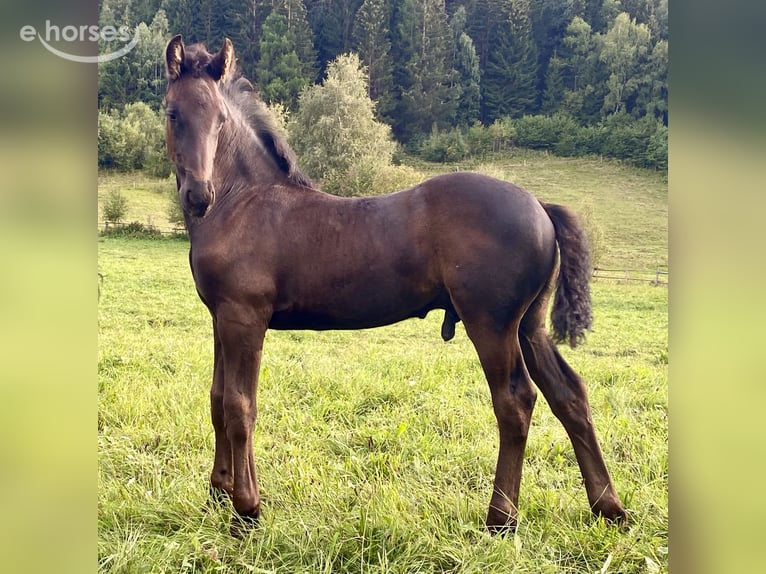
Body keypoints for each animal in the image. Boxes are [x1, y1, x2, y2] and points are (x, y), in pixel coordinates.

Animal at [163, 35, 627, 535]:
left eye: (221, 120)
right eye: (173, 113)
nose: (199, 195)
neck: (242, 201)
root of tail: (540, 205)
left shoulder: (245, 318)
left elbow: (240, 406)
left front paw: (247, 509)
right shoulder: (221, 319)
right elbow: (217, 400)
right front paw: (218, 492)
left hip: (491, 324)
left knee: (515, 401)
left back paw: (501, 518)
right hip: (529, 326)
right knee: (570, 394)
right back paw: (609, 508)